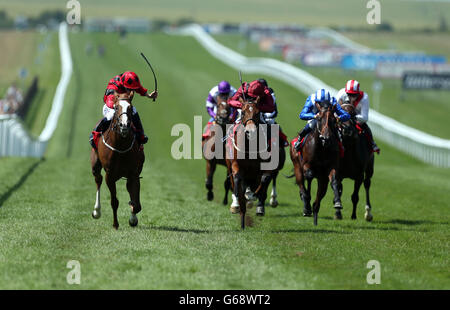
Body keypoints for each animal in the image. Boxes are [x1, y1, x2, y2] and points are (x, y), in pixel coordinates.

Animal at [91, 91, 146, 228]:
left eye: (130, 108)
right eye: (116, 108)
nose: (124, 125)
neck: (120, 146)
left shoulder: (133, 173)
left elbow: (136, 204)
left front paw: (133, 217)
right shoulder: (110, 175)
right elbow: (114, 201)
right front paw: (115, 224)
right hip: (95, 165)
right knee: (98, 180)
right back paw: (96, 211)